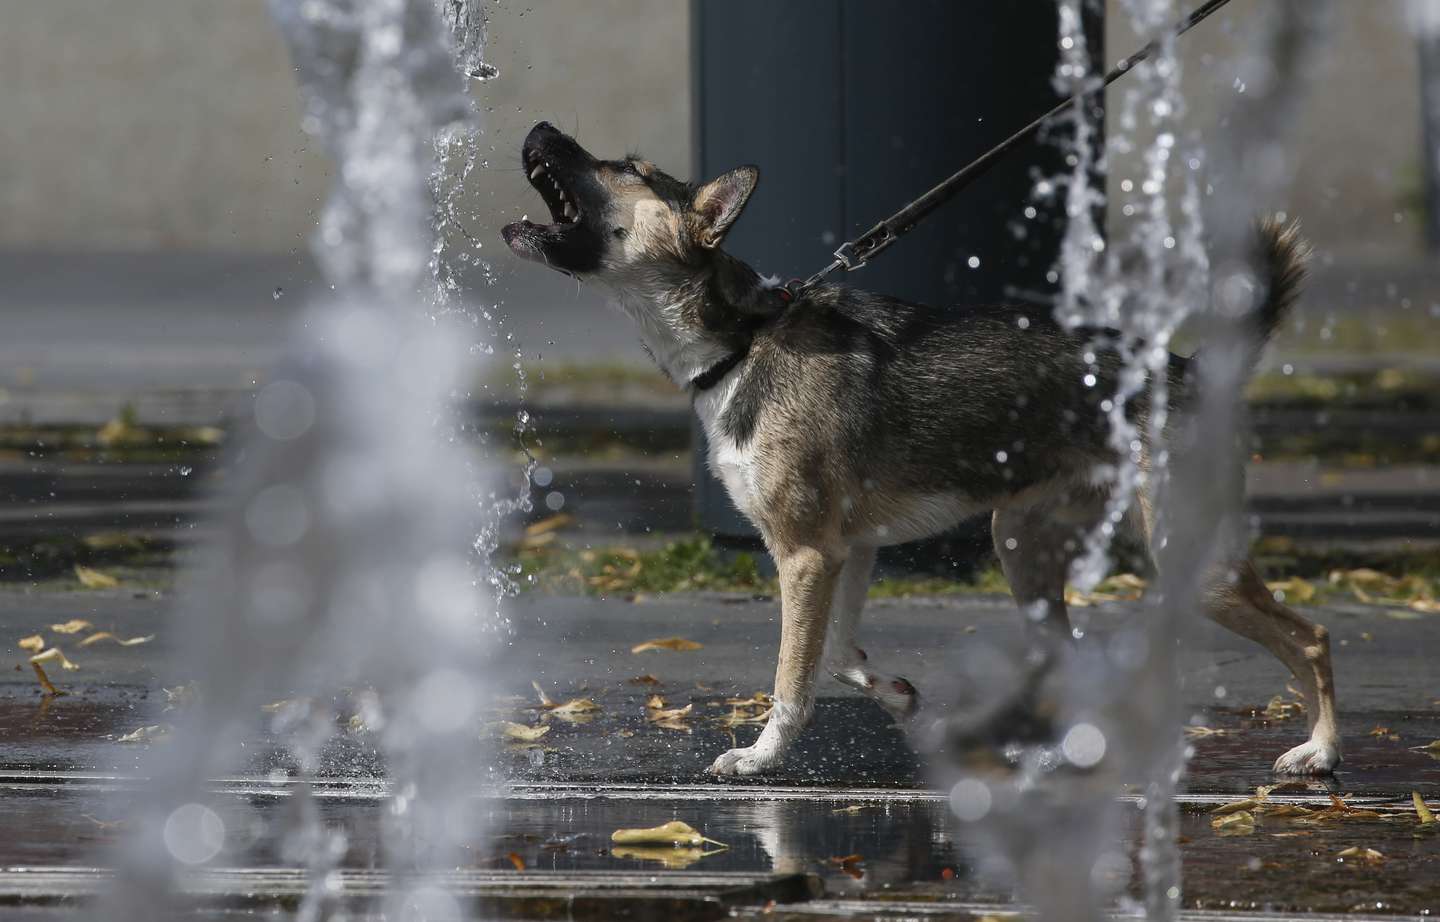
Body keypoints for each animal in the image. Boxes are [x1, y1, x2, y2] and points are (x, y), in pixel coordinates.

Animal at [504, 118, 1336, 772]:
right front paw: (897, 695)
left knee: (1312, 638)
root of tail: (1192, 370)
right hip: (1020, 543)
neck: (741, 342)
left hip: (1191, 561)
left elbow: (792, 680)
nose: (539, 126)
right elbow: (839, 654)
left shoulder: (805, 556)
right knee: (1066, 656)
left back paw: (1320, 751)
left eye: (629, 169)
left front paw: (763, 757)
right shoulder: (847, 552)